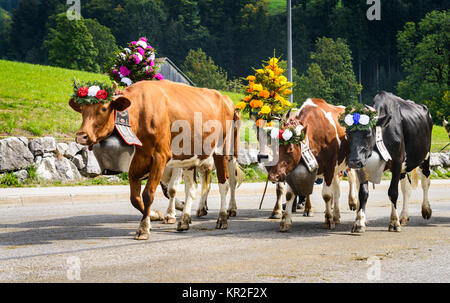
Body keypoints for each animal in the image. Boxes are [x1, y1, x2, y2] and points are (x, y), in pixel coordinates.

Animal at [69, 79, 241, 241]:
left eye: (104, 108)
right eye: (82, 109)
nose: (81, 135)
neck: (139, 113)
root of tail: (225, 98)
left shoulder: (160, 157)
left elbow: (149, 194)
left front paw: (144, 228)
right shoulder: (136, 162)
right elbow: (135, 198)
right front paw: (155, 215)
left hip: (224, 151)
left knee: (225, 184)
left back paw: (223, 217)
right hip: (189, 157)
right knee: (192, 188)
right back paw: (185, 220)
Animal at [268, 98, 352, 232]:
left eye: (290, 148)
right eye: (274, 146)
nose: (273, 176)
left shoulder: (329, 168)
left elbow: (327, 195)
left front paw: (328, 220)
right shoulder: (291, 171)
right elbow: (289, 195)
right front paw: (285, 221)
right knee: (337, 190)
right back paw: (336, 216)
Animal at [348, 92, 432, 233]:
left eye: (368, 133)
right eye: (348, 133)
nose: (354, 161)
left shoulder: (397, 161)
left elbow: (393, 192)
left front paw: (394, 222)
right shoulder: (364, 166)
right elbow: (363, 193)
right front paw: (359, 222)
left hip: (425, 156)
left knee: (425, 182)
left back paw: (426, 209)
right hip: (405, 166)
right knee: (406, 188)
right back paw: (403, 216)